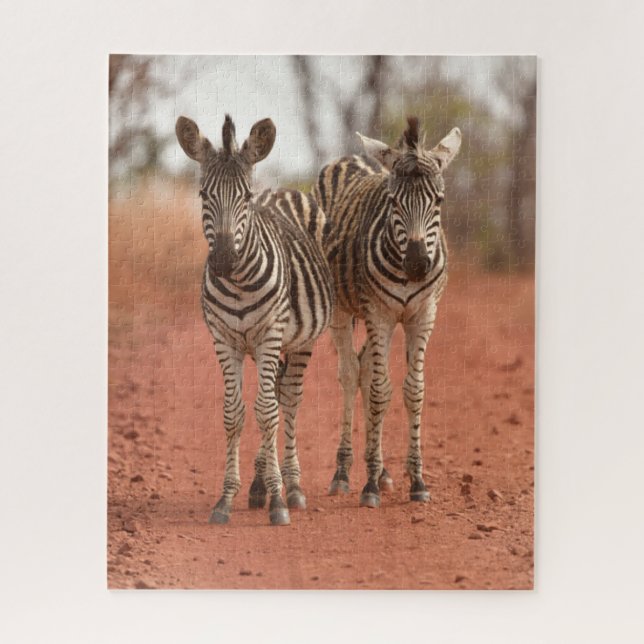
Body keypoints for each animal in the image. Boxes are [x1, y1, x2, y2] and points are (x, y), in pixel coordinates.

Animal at [176, 114, 333, 526]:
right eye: (203, 195)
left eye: (245, 198)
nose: (223, 260)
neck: (239, 283)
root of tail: (280, 191)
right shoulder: (224, 339)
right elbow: (235, 414)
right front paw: (226, 498)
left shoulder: (268, 335)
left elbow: (267, 412)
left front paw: (279, 500)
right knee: (276, 396)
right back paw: (260, 485)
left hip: (300, 341)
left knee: (287, 401)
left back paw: (291, 486)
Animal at [314, 116, 461, 508]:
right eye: (393, 201)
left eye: (439, 200)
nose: (417, 264)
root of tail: (350, 158)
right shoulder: (378, 313)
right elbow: (380, 391)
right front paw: (368, 486)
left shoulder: (422, 315)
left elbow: (414, 391)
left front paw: (417, 480)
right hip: (342, 311)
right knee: (352, 375)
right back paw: (344, 472)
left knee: (365, 368)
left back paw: (379, 469)